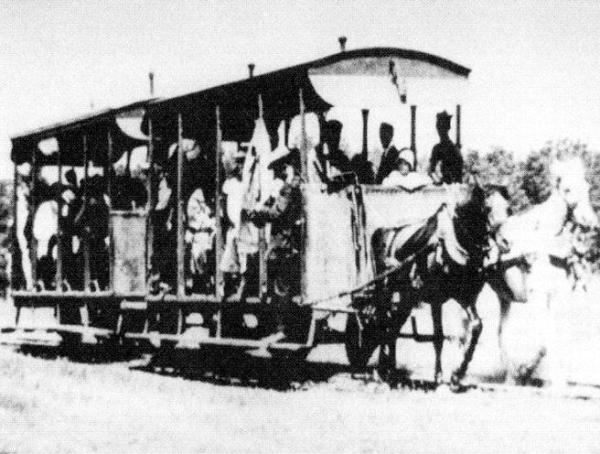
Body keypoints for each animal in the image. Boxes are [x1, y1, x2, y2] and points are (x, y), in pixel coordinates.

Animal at [370, 181, 511, 387]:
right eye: (487, 208)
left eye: (509, 208)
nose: (506, 243)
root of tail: (384, 232)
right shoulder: (435, 299)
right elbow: (438, 336)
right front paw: (440, 375)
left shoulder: (466, 297)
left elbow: (474, 328)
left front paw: (456, 374)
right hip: (385, 293)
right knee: (383, 324)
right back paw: (381, 372)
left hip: (407, 297)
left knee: (393, 327)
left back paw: (391, 372)